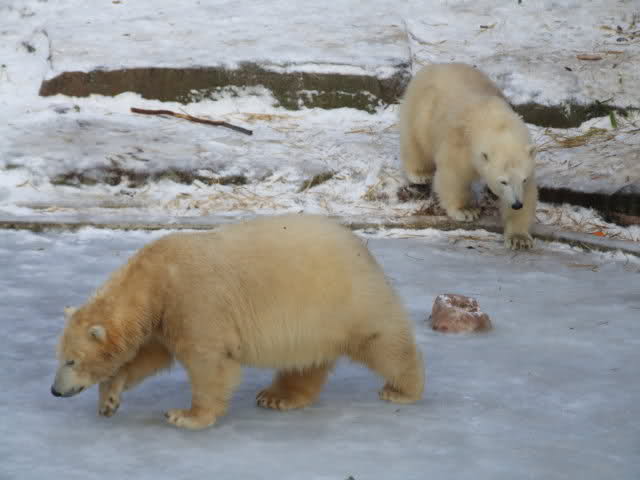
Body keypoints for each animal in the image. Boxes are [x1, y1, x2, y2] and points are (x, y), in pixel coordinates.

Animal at [51, 214, 425, 430]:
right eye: (61, 358)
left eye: (72, 360)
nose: (56, 391)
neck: (157, 278)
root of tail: (362, 247)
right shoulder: (162, 319)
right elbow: (147, 358)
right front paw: (108, 401)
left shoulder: (194, 300)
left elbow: (209, 362)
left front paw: (186, 416)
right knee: (306, 360)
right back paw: (278, 397)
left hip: (344, 298)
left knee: (383, 340)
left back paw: (402, 390)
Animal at [399, 62, 538, 250]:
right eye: (503, 181)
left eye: (523, 179)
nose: (516, 204)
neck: (494, 121)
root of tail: (436, 66)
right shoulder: (460, 145)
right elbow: (454, 176)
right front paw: (466, 211)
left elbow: (528, 193)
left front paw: (519, 238)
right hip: (421, 110)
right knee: (416, 140)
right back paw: (420, 173)